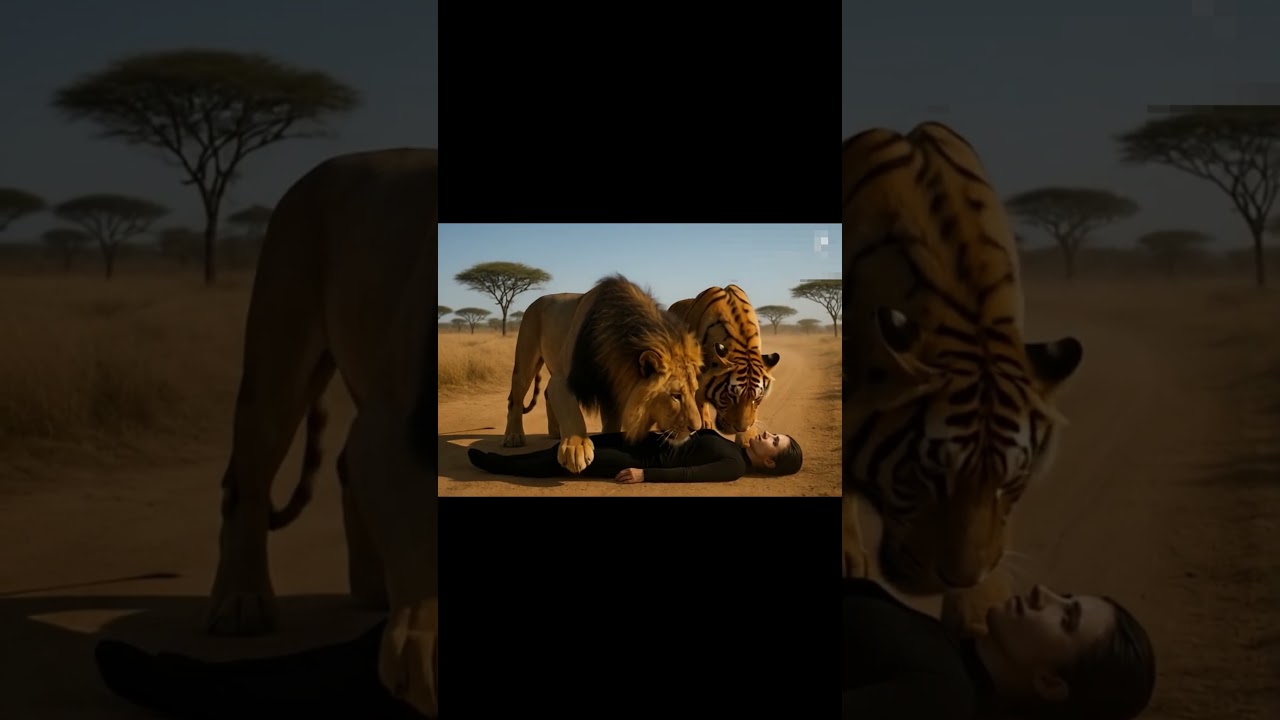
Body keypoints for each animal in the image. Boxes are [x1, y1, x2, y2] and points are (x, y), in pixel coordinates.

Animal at [206, 147, 438, 715]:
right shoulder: (392, 423)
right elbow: (422, 527)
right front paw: (424, 645)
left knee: (341, 464)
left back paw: (373, 586)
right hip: (278, 365)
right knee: (246, 482)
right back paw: (240, 598)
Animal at [501, 274, 705, 473]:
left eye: (694, 392)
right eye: (675, 395)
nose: (695, 429)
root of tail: (537, 301)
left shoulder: (612, 389)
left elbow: (611, 425)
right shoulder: (562, 379)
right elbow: (572, 412)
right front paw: (576, 448)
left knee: (544, 393)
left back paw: (555, 431)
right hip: (526, 361)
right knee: (515, 399)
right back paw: (514, 436)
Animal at [667, 285, 781, 446]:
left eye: (757, 398)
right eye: (731, 396)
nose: (740, 428)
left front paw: (747, 437)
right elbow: (699, 399)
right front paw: (705, 424)